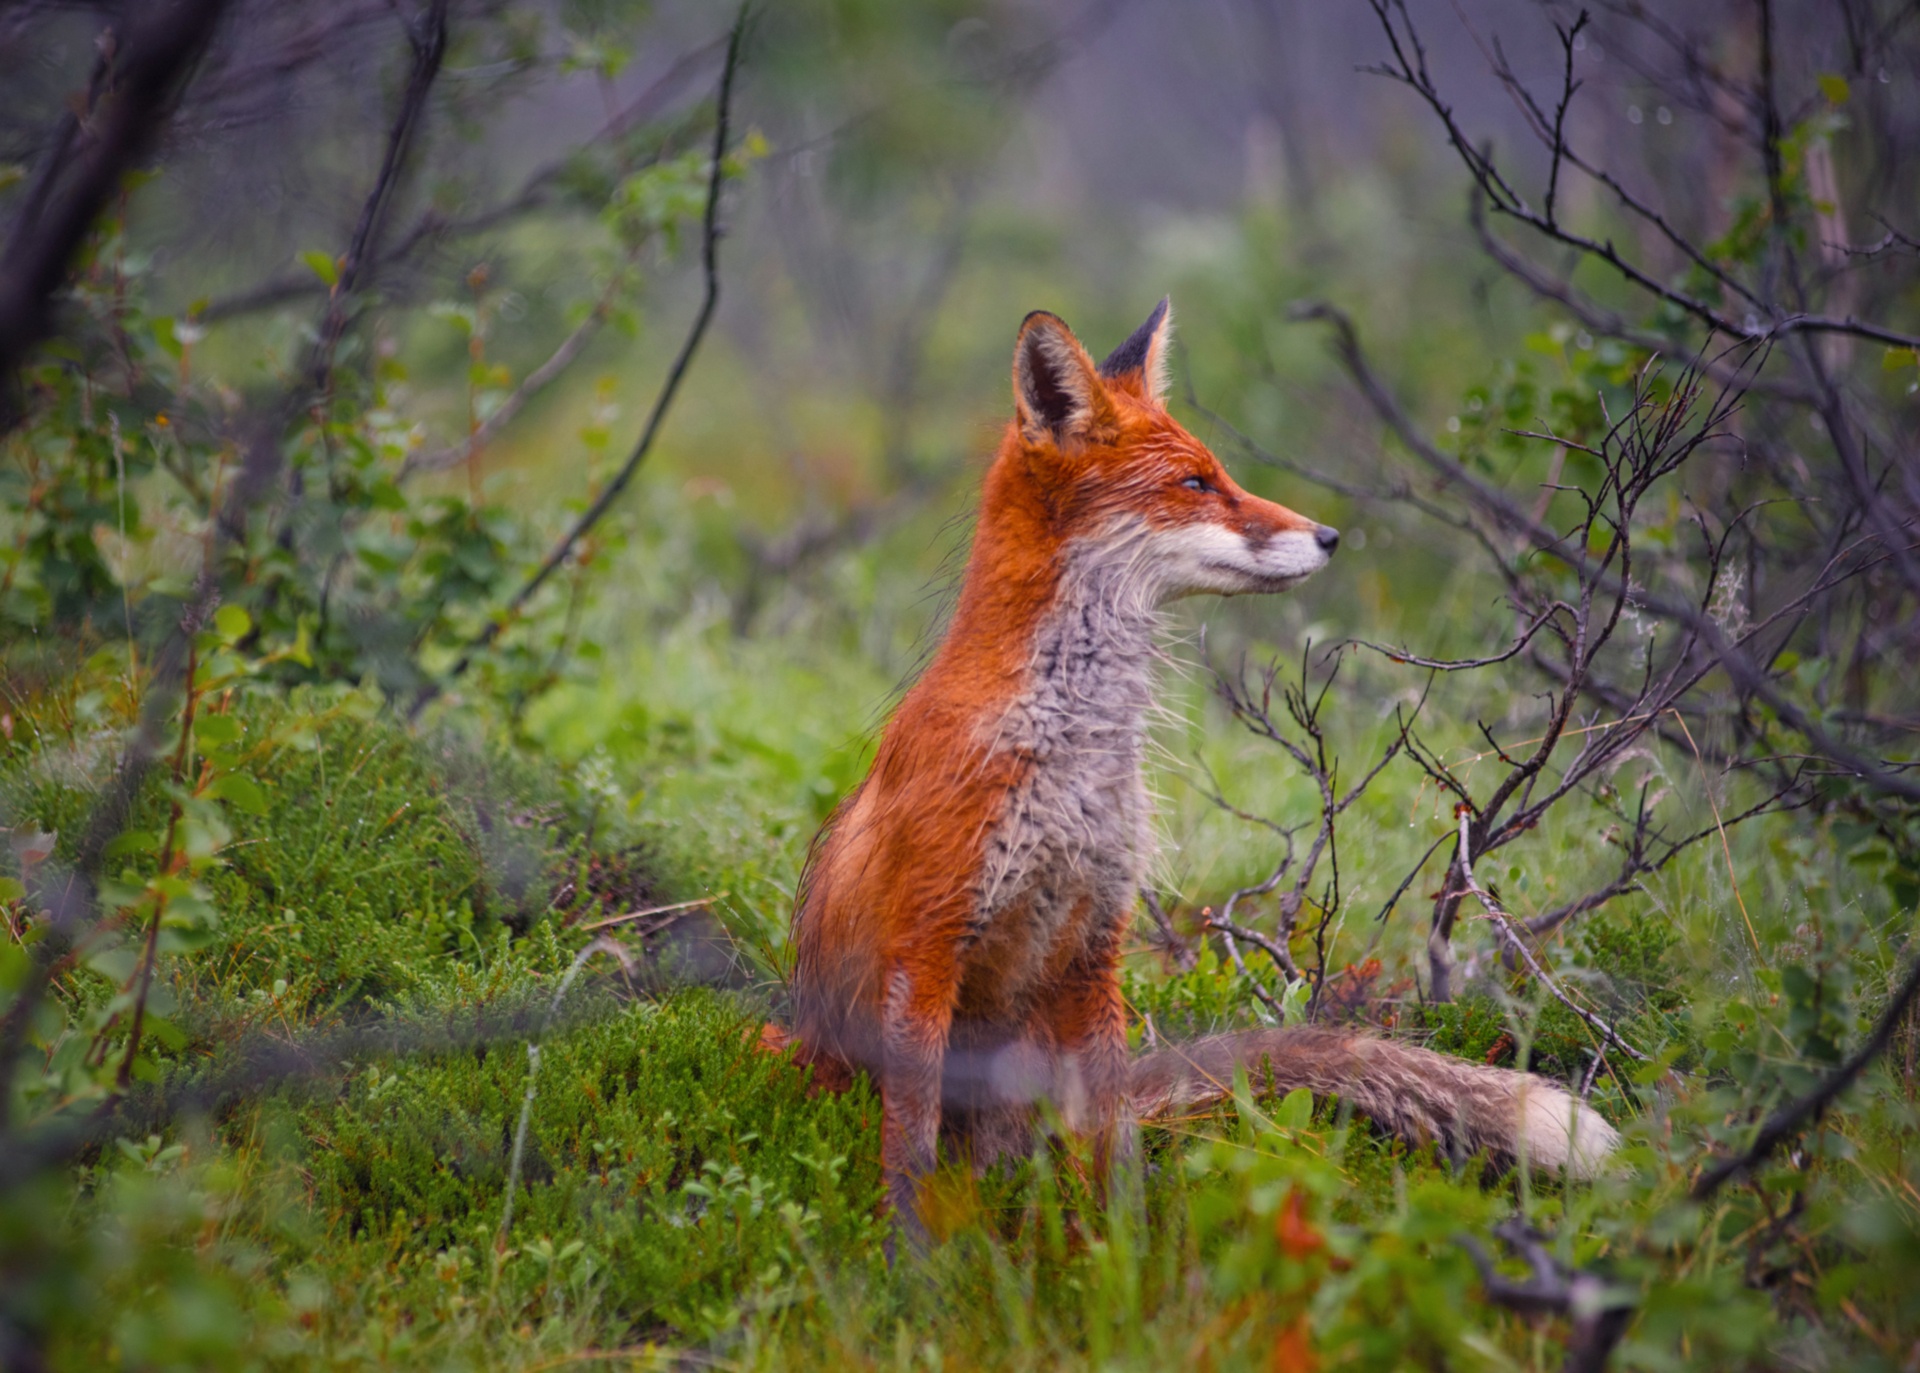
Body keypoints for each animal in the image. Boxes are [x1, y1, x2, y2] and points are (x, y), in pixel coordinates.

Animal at [771, 303, 1612, 1236]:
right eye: (1196, 483)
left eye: (1220, 473)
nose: (1330, 536)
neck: (1070, 747)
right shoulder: (927, 949)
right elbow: (909, 1162)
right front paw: (913, 1262)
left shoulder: (1094, 947)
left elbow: (1117, 1152)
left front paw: (1125, 1257)